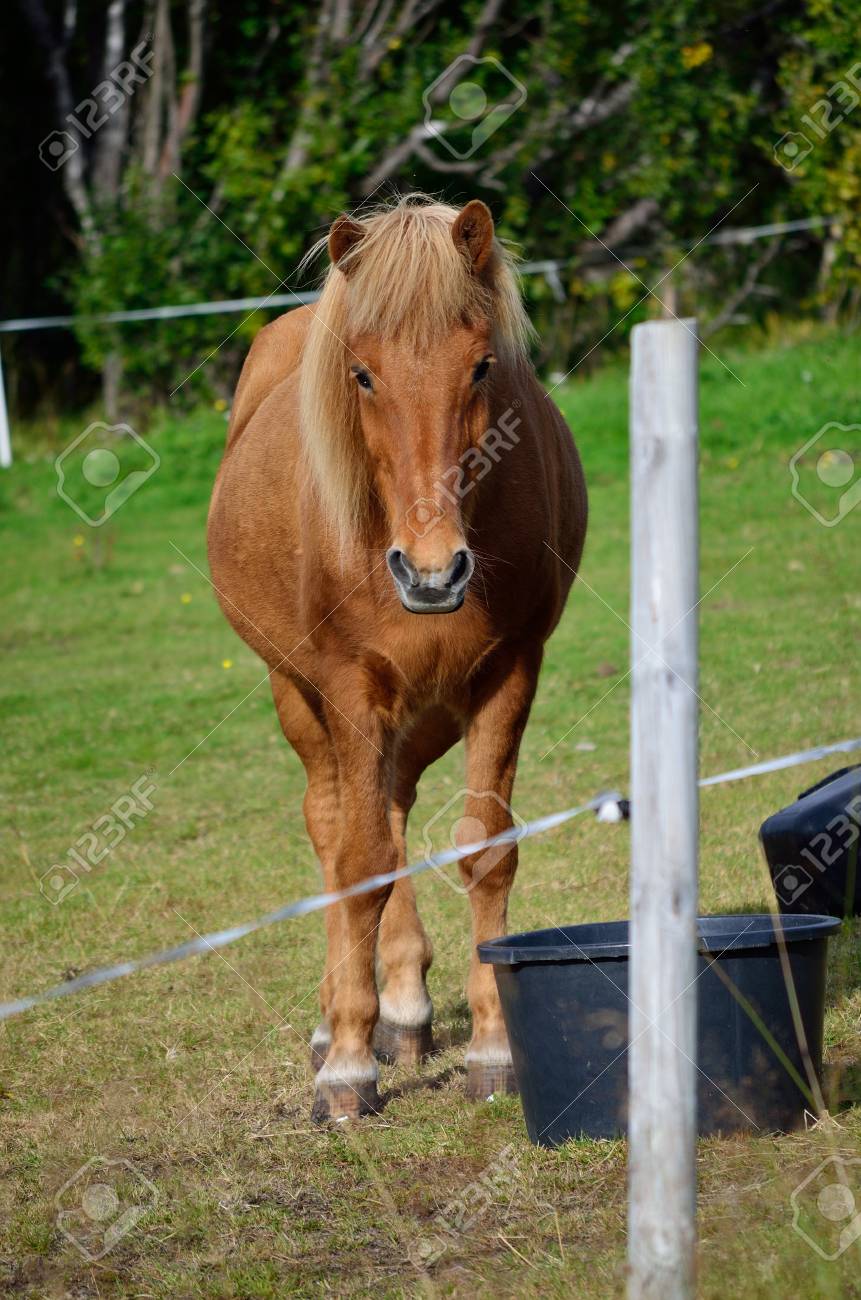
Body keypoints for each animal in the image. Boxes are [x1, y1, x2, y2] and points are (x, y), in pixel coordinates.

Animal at [207, 195, 587, 1121]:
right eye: (363, 376)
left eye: (482, 366)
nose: (430, 570)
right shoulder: (349, 689)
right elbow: (358, 863)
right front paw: (347, 1067)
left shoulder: (508, 674)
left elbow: (484, 849)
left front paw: (493, 1047)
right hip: (297, 694)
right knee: (335, 822)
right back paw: (335, 1026)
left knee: (391, 808)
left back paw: (406, 1009)